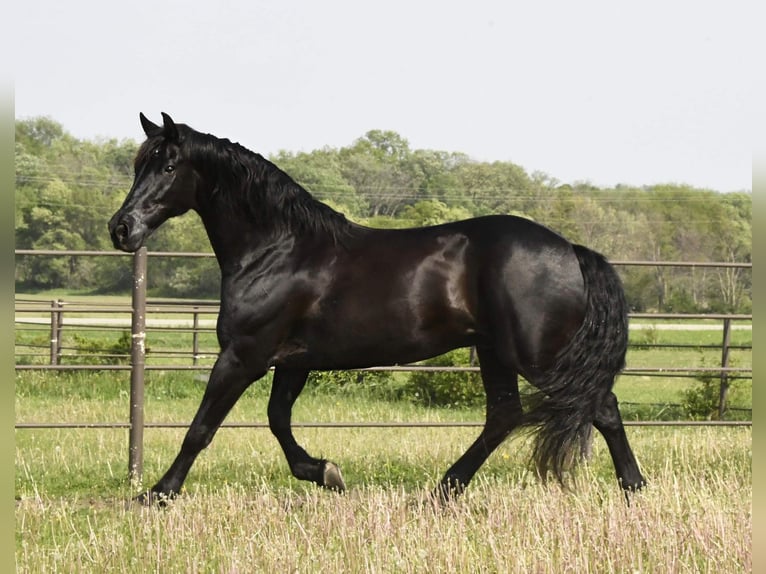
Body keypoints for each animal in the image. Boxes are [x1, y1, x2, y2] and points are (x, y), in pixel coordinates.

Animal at [109, 115, 648, 506]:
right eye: (139, 165)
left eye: (168, 167)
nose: (121, 228)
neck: (279, 248)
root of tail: (571, 250)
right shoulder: (293, 362)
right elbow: (278, 421)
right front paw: (325, 473)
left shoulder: (244, 356)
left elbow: (201, 429)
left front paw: (158, 493)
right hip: (497, 352)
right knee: (505, 416)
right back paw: (442, 492)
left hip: (538, 356)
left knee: (601, 407)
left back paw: (634, 490)